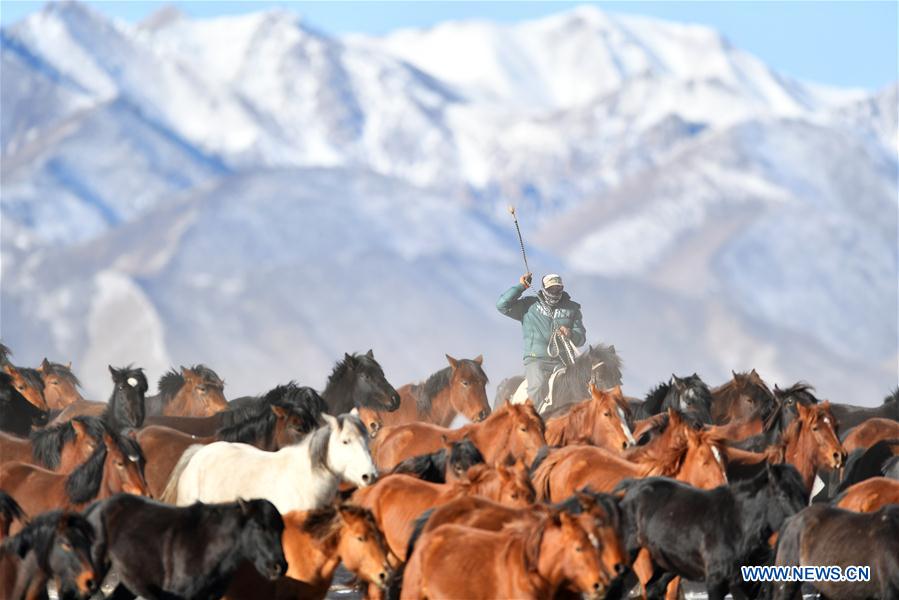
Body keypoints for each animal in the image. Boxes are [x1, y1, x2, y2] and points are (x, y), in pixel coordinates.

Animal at [616, 463, 808, 600]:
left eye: (804, 494)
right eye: (783, 495)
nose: (803, 523)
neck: (737, 523)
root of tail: (634, 485)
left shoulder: (745, 584)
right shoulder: (716, 583)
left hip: (670, 564)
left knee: (652, 588)